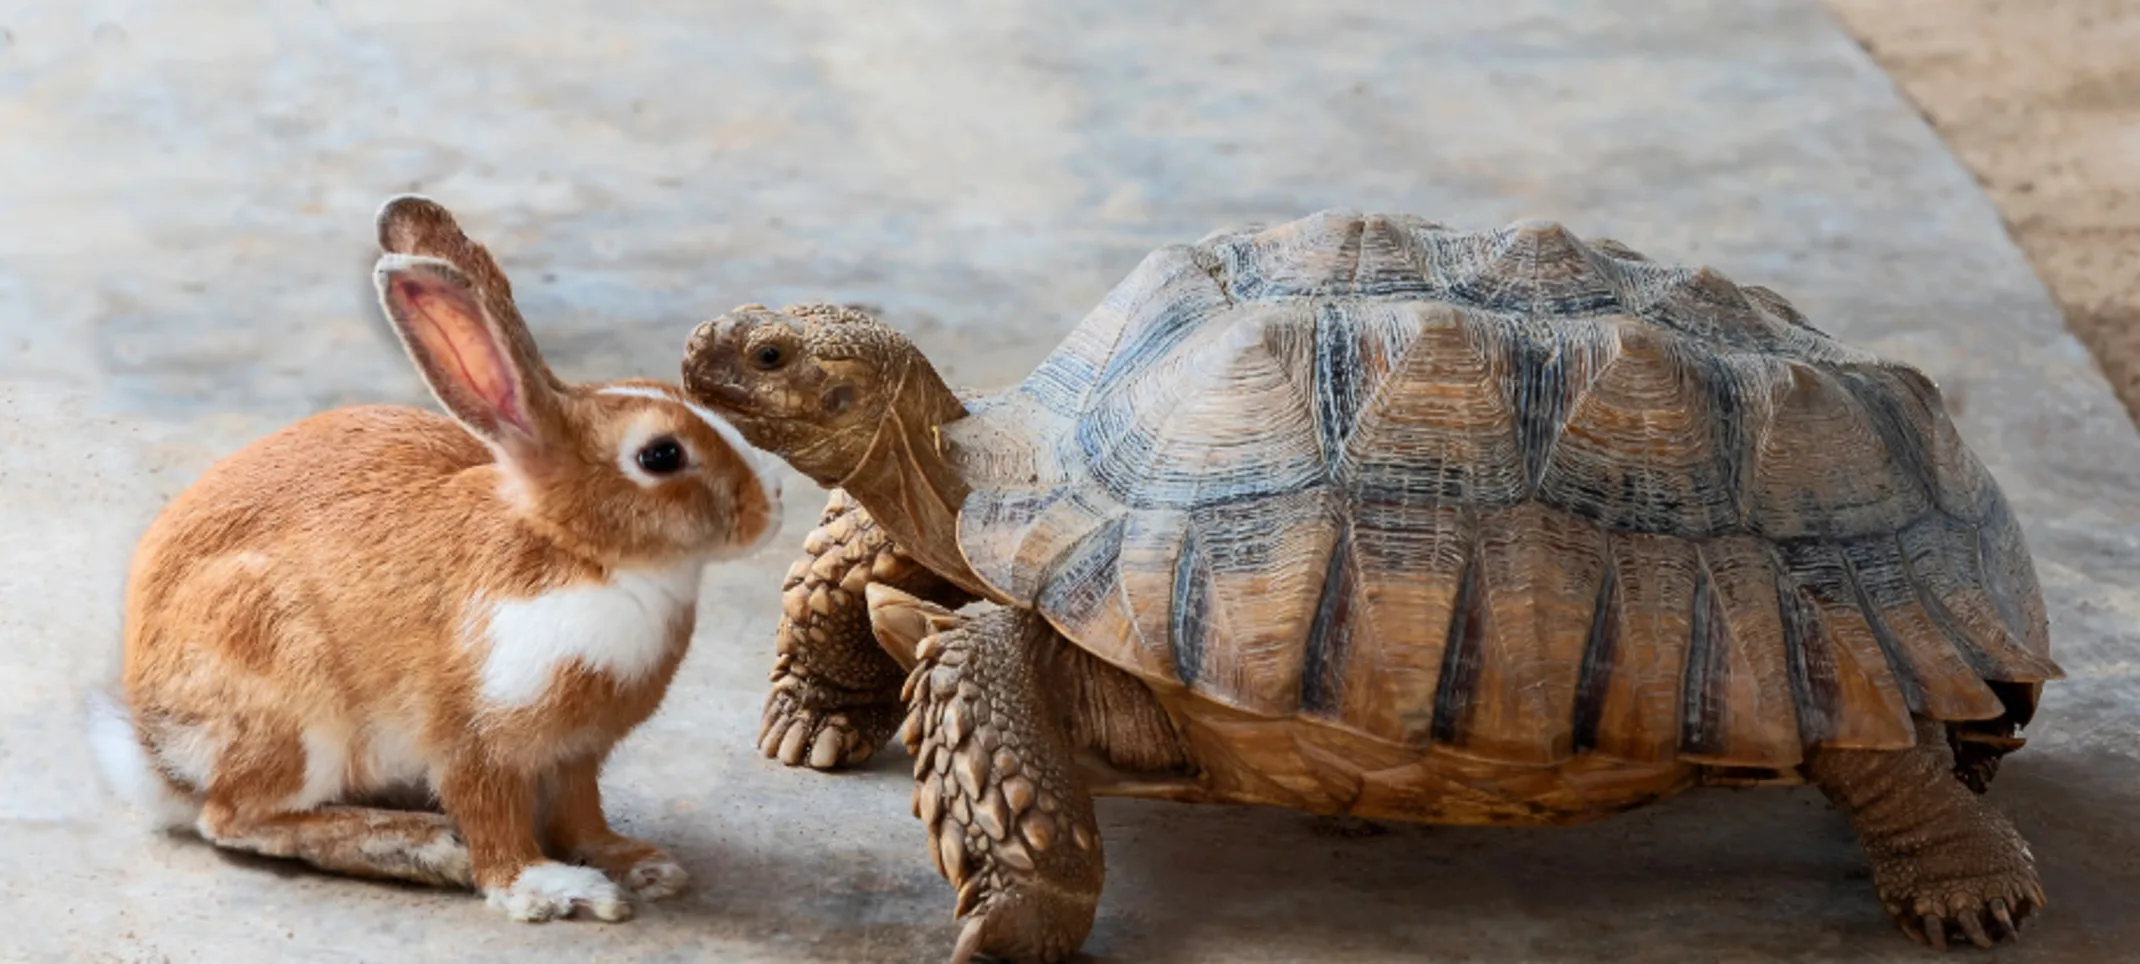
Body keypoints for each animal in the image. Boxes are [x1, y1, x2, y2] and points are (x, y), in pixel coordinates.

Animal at [86, 195, 782, 923]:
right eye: (661, 455)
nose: (771, 507)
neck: (579, 554)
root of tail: (153, 749)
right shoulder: (473, 738)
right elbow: (493, 823)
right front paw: (549, 890)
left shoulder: (576, 754)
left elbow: (583, 815)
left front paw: (638, 864)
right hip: (291, 700)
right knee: (235, 817)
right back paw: (421, 847)